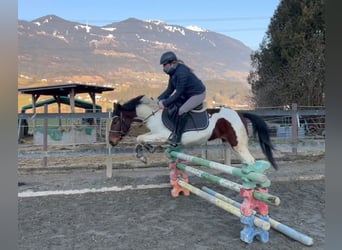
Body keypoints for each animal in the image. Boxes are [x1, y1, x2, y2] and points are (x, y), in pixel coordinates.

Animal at [109, 94, 278, 170]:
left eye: (116, 121)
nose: (111, 141)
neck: (154, 115)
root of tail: (240, 114)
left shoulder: (163, 135)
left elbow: (139, 137)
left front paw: (144, 155)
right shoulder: (155, 135)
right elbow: (141, 138)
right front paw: (146, 153)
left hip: (238, 144)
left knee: (251, 161)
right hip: (232, 144)